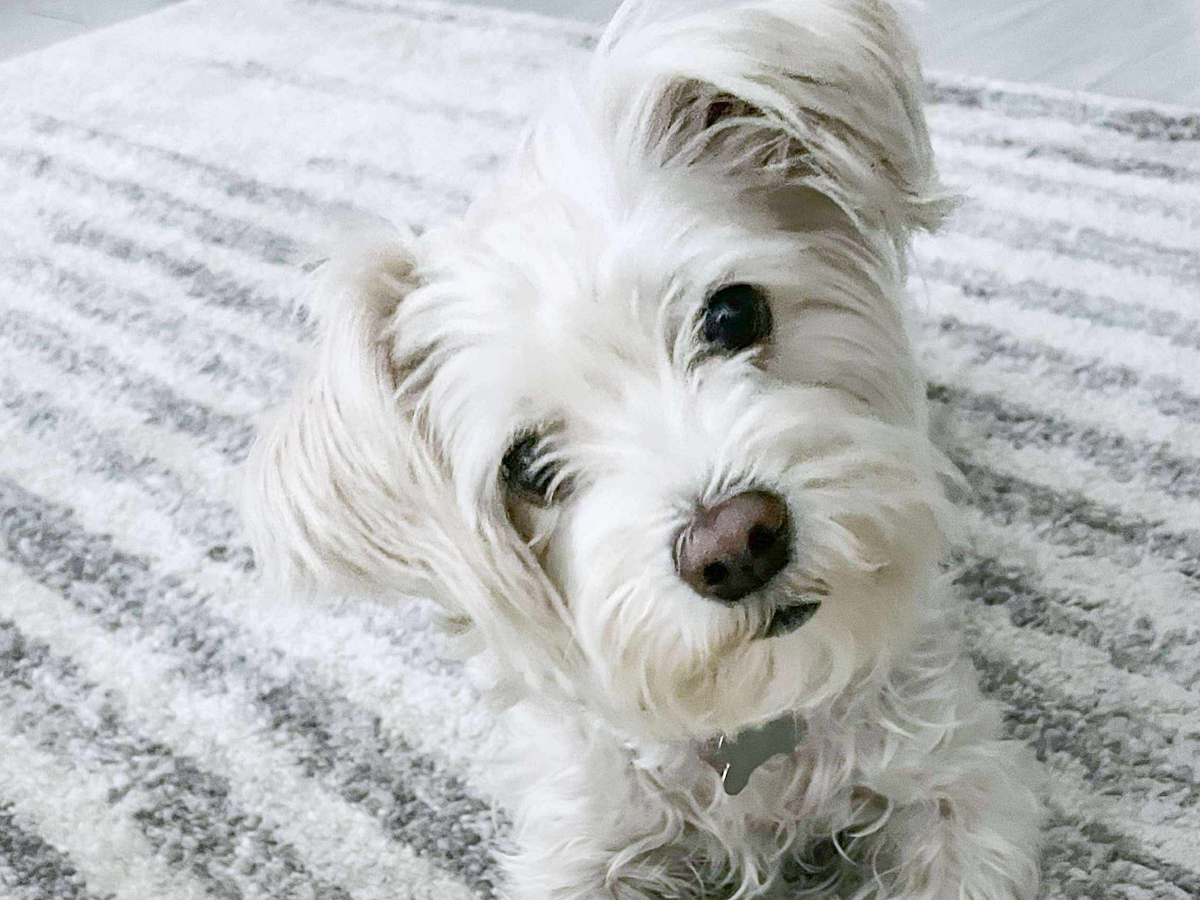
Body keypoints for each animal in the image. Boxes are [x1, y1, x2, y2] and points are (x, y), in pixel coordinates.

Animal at [243, 1, 1045, 897]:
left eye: (733, 313)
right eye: (525, 466)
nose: (735, 544)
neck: (759, 721)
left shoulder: (958, 781)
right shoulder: (582, 838)